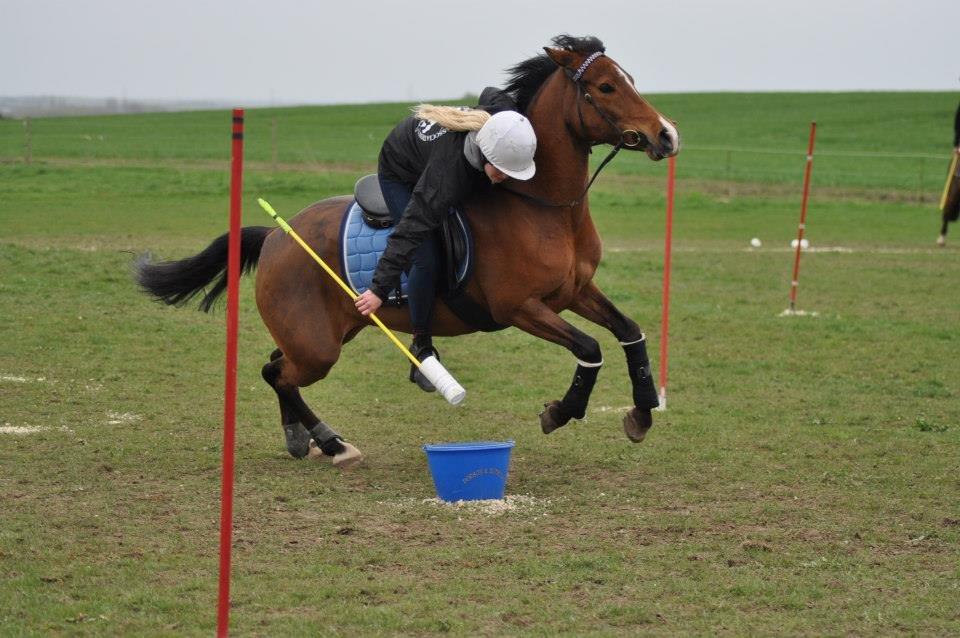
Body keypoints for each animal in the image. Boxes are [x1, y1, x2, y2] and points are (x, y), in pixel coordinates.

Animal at [139, 36, 684, 470]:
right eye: (607, 87)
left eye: (630, 79)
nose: (667, 134)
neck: (540, 203)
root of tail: (275, 237)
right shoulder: (520, 308)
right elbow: (589, 348)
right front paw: (560, 411)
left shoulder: (575, 291)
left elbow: (629, 332)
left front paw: (641, 410)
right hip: (319, 346)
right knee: (277, 372)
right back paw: (332, 442)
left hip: (331, 329)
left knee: (276, 366)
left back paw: (303, 439)